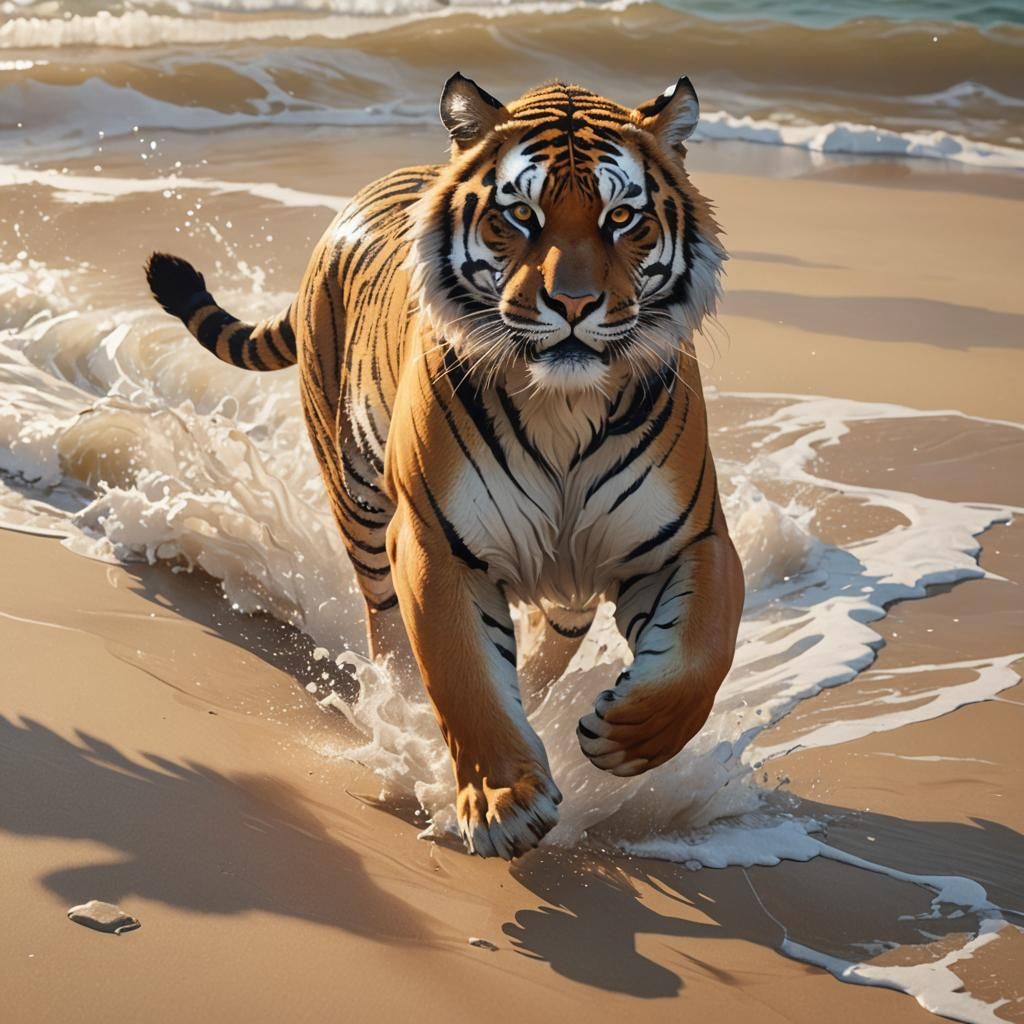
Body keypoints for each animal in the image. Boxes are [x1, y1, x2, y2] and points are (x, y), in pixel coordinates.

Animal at [145, 74, 745, 860]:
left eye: (622, 218)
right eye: (520, 215)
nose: (574, 303)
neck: (565, 404)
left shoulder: (692, 539)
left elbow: (703, 652)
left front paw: (626, 734)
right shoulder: (436, 543)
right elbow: (463, 675)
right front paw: (503, 804)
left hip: (569, 579)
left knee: (558, 629)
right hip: (360, 504)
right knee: (385, 625)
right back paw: (397, 705)